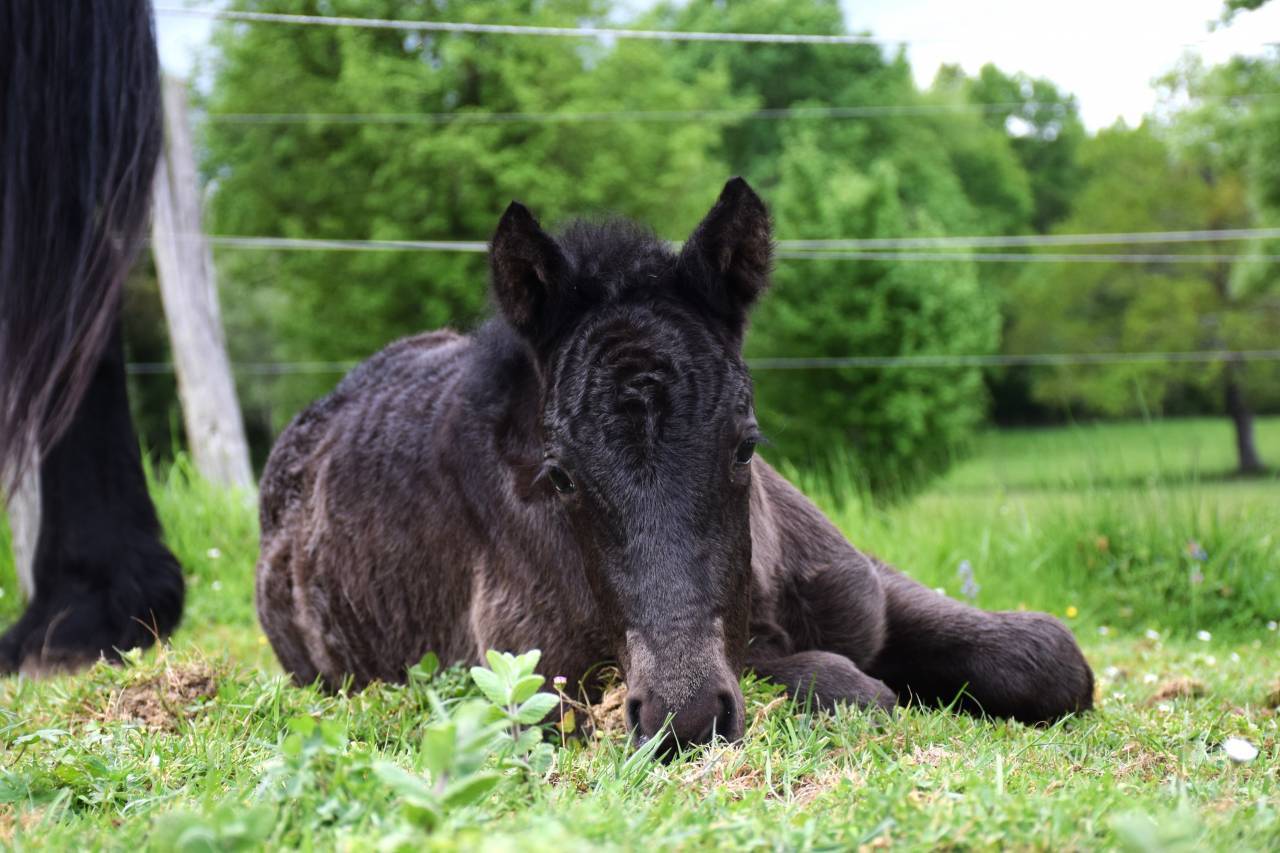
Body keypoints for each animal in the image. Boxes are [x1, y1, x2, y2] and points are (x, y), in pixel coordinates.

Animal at [256, 178, 1094, 751]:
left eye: (746, 443)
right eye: (561, 474)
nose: (684, 714)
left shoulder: (871, 584)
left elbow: (1048, 657)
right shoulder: (539, 678)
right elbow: (848, 683)